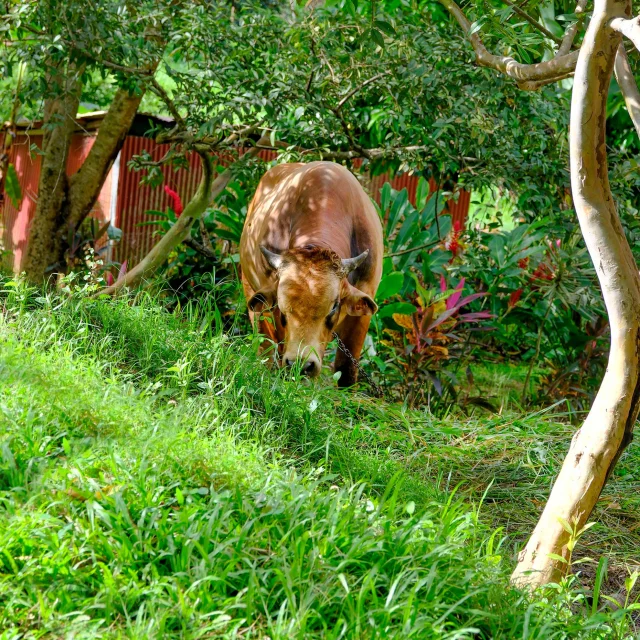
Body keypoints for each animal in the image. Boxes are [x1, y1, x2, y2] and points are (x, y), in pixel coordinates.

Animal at [239, 162, 380, 388]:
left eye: (334, 307)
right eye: (283, 308)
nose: (302, 365)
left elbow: (347, 370)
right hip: (251, 291)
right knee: (264, 342)